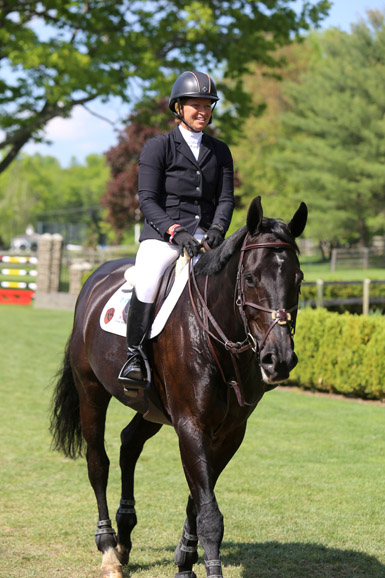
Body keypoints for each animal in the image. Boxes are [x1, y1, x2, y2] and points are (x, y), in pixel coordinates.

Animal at [50, 195, 306, 576]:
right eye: (249, 277)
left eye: (298, 279)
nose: (280, 360)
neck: (216, 338)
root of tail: (96, 278)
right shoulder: (191, 425)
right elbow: (209, 513)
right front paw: (205, 567)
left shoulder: (230, 431)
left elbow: (198, 500)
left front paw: (185, 559)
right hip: (91, 393)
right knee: (98, 462)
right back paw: (109, 547)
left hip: (152, 408)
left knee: (129, 443)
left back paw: (125, 536)